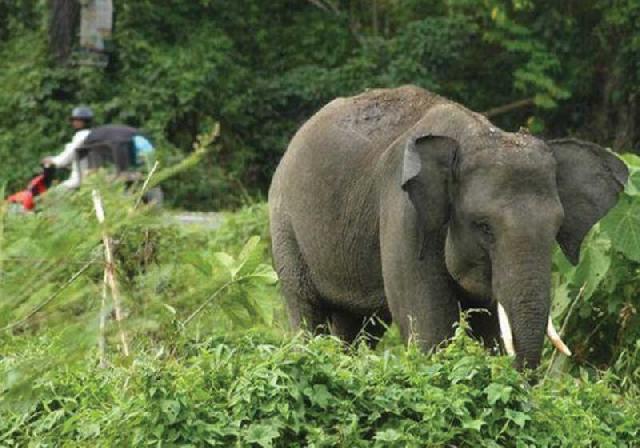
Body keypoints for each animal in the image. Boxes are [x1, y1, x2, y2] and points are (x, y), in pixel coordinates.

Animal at [268, 85, 628, 368]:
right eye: (483, 227)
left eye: (556, 229)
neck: (476, 134)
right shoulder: (403, 212)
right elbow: (430, 327)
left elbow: (486, 325)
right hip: (284, 224)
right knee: (306, 307)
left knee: (360, 324)